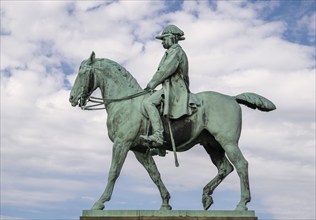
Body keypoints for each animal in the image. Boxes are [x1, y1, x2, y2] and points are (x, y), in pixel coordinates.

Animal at [69, 51, 276, 211]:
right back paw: (206, 195)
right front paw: (166, 202)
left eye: (82, 73)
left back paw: (242, 204)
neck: (126, 103)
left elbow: (113, 171)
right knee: (225, 168)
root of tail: (232, 98)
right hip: (212, 145)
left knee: (241, 165)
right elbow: (155, 175)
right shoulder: (140, 150)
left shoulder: (122, 144)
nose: (71, 98)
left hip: (228, 142)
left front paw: (100, 202)